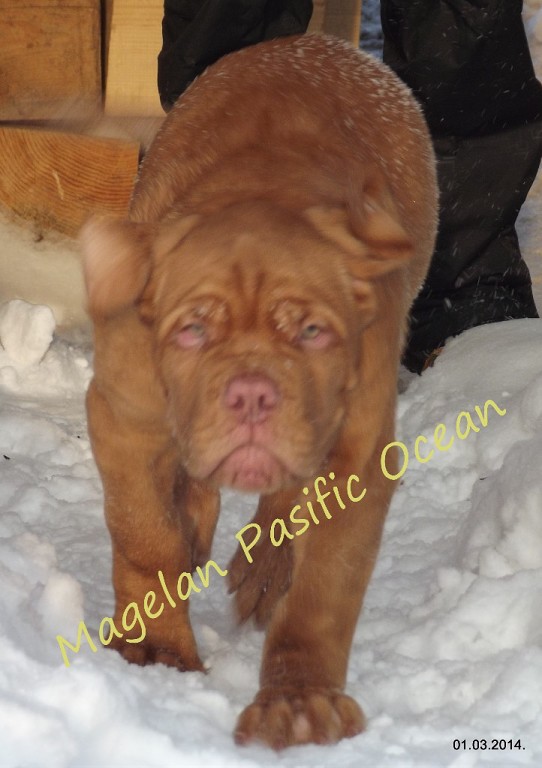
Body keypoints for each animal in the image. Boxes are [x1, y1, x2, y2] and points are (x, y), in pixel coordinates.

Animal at [80, 34, 437, 749]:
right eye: (192, 330)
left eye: (311, 331)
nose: (250, 394)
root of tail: (316, 41)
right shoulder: (123, 417)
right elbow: (144, 535)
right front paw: (158, 650)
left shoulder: (357, 454)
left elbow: (323, 592)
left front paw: (299, 700)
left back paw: (264, 565)